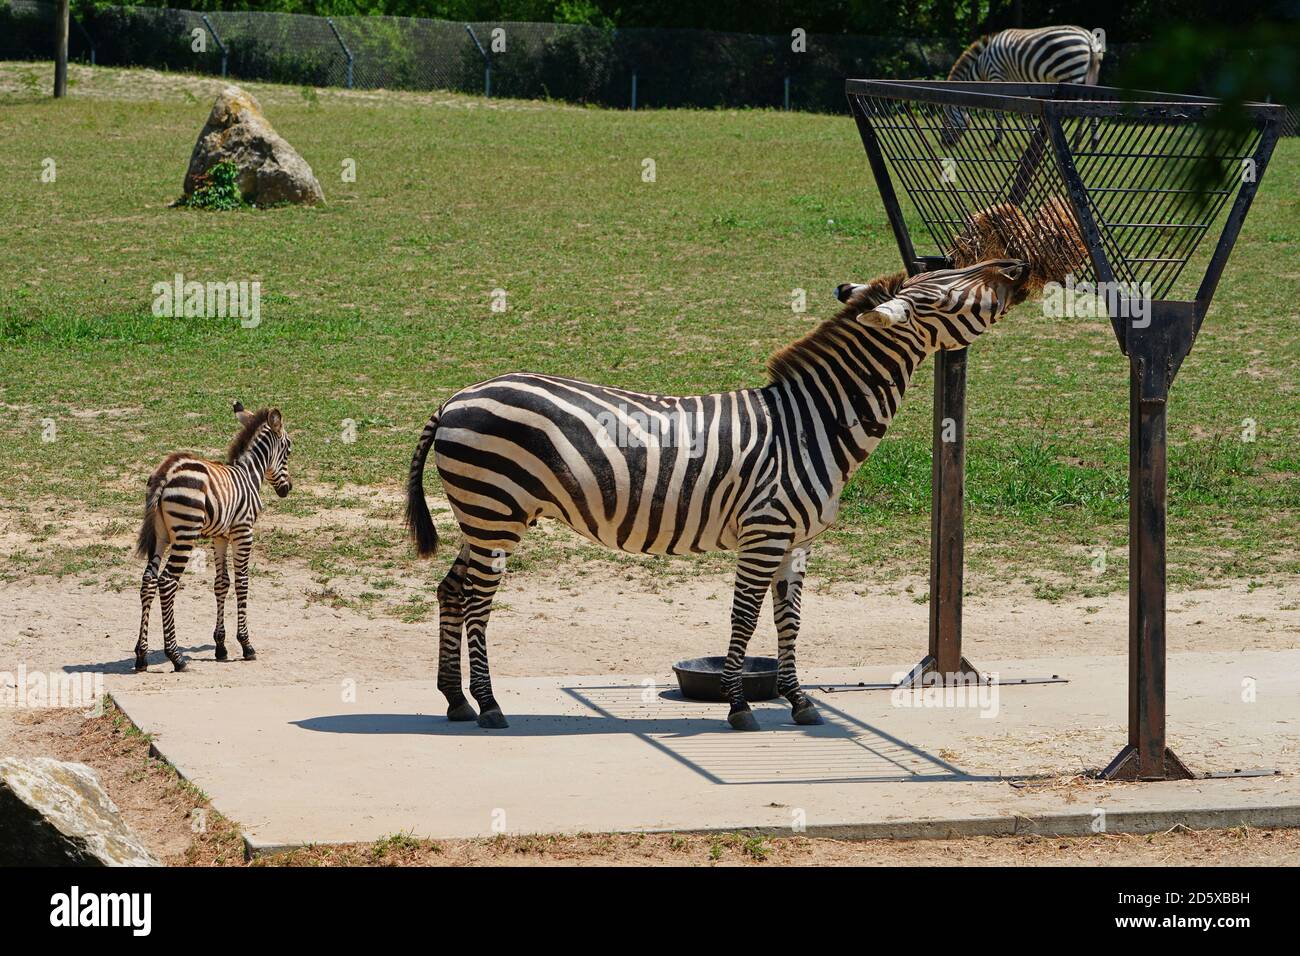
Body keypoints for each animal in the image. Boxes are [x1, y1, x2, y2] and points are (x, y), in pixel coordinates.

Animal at [132, 403, 295, 671]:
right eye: (289, 449)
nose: (287, 489)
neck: (249, 475)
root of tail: (167, 470)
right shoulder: (243, 531)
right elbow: (242, 582)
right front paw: (246, 645)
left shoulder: (220, 536)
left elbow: (221, 583)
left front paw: (220, 646)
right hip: (185, 535)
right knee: (167, 582)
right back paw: (176, 657)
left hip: (161, 534)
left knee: (148, 581)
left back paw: (142, 656)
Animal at [410, 257, 1029, 728]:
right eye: (948, 293)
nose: (1015, 266)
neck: (811, 422)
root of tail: (456, 397)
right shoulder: (765, 531)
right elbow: (745, 620)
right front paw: (738, 708)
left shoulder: (797, 542)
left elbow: (789, 622)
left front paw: (799, 703)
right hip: (496, 512)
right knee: (477, 601)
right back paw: (489, 706)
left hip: (483, 516)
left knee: (450, 590)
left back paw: (456, 701)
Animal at [941, 23, 1102, 145]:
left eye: (946, 119)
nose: (945, 144)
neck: (981, 65)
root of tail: (1087, 36)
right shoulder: (1019, 83)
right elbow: (1026, 112)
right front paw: (1032, 135)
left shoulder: (996, 77)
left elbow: (998, 112)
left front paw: (996, 140)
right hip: (1090, 76)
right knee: (1092, 103)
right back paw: (1094, 142)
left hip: (1073, 72)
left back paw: (1076, 142)